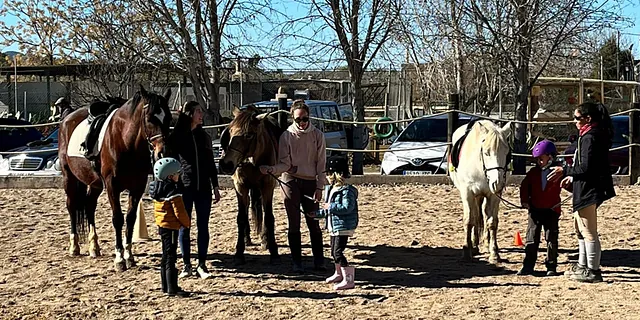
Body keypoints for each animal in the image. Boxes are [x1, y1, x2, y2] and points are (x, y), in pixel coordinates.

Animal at [57, 86, 171, 272]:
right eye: (149, 119)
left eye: (167, 118)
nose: (162, 152)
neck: (125, 141)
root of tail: (67, 118)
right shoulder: (112, 186)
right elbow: (117, 218)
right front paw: (119, 258)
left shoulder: (138, 186)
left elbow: (131, 218)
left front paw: (129, 256)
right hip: (69, 177)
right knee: (72, 206)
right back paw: (74, 247)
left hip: (94, 183)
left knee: (89, 206)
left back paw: (94, 247)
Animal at [219, 105, 284, 264]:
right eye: (230, 131)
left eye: (249, 135)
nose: (226, 164)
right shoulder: (240, 186)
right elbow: (241, 217)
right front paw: (239, 251)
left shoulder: (268, 186)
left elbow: (269, 217)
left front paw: (273, 250)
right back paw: (246, 238)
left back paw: (265, 240)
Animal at [448, 119, 512, 264]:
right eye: (486, 152)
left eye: (506, 153)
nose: (497, 182)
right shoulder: (467, 193)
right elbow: (469, 220)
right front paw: (467, 251)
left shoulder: (493, 196)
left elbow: (492, 222)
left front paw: (494, 253)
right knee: (476, 216)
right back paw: (474, 245)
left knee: (482, 214)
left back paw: (485, 244)